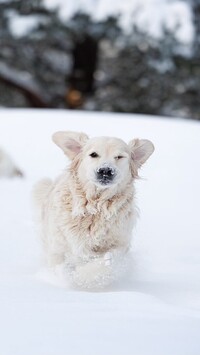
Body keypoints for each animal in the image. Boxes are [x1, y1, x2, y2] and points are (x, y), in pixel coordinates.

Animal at [32, 132, 155, 288]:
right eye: (94, 154)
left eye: (119, 157)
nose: (105, 171)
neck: (96, 207)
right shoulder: (57, 247)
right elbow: (59, 264)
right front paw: (67, 272)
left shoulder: (120, 245)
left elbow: (107, 265)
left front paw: (81, 275)